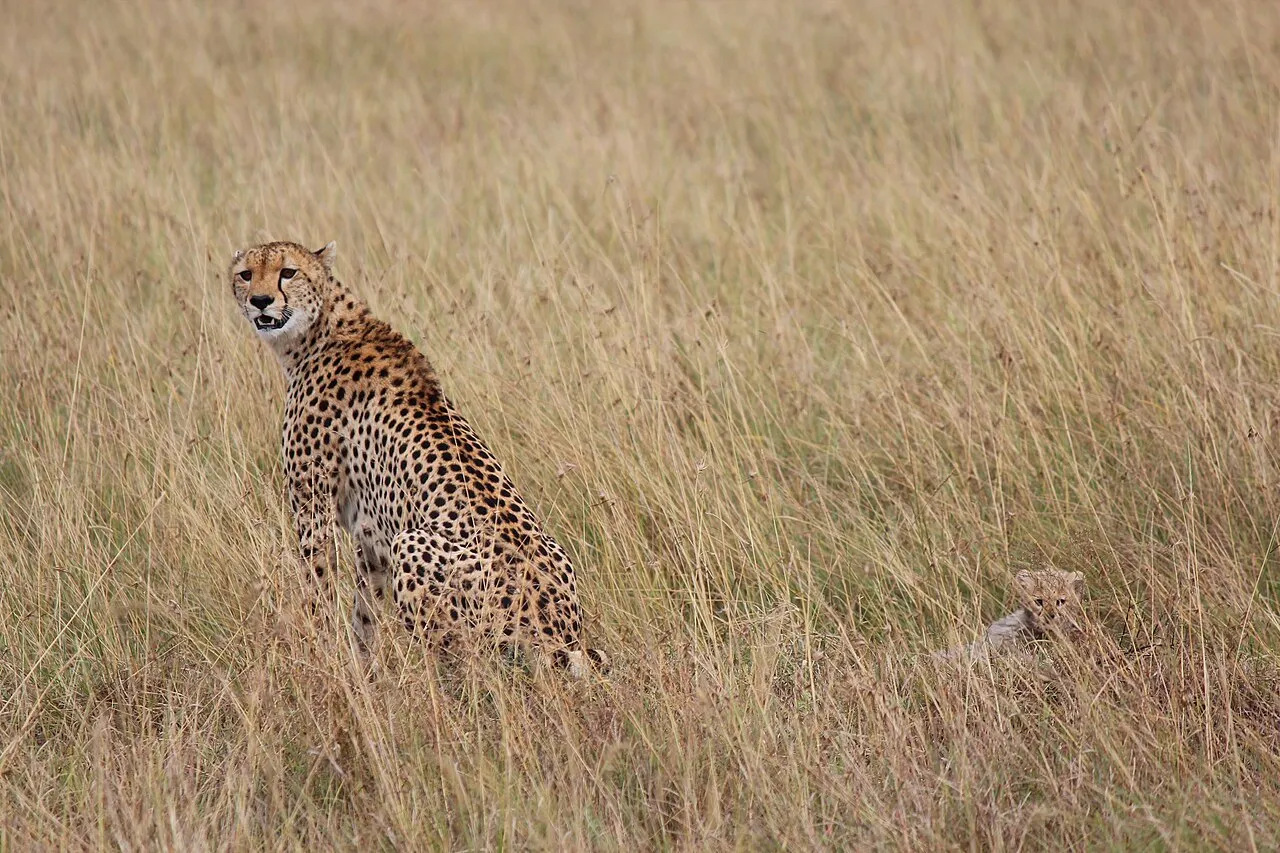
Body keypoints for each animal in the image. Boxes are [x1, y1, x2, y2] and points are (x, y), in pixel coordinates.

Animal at [229, 239, 608, 677]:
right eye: (246, 274)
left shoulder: (314, 511)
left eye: (288, 272)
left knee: (471, 668)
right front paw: (363, 671)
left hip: (413, 546)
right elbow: (365, 610)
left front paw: (318, 658)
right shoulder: (371, 536)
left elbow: (318, 589)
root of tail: (561, 635)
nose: (260, 300)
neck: (321, 329)